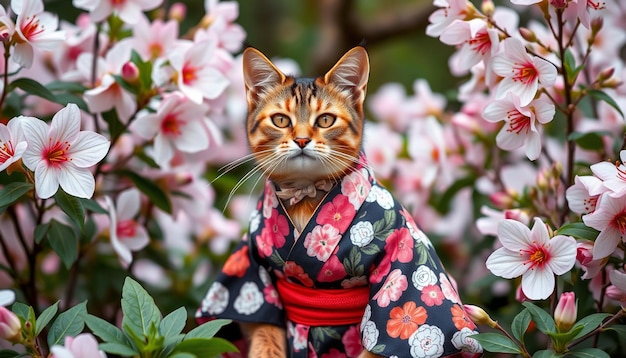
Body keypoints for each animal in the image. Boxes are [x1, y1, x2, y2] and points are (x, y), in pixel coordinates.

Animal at [197, 46, 480, 356]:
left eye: (325, 120)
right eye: (281, 120)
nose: (302, 140)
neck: (306, 197)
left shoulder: (405, 260)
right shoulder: (251, 268)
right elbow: (262, 327)